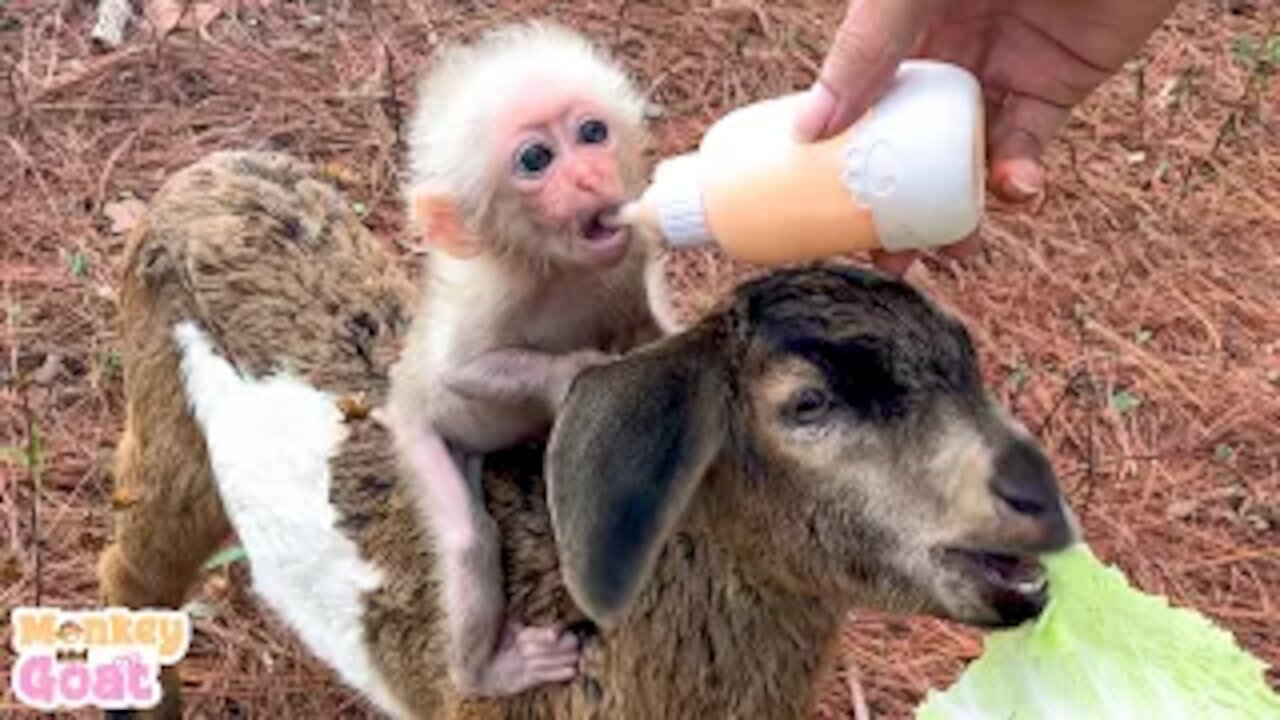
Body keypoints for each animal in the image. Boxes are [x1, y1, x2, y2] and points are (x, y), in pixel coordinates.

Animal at [99, 148, 1075, 712]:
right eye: (807, 406)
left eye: (968, 357)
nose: (1035, 500)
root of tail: (210, 169)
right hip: (168, 436)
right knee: (132, 572)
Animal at [384, 25, 665, 696]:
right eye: (536, 160)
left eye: (592, 132)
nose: (589, 176)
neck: (561, 269)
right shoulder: (497, 291)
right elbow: (460, 368)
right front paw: (579, 371)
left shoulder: (635, 245)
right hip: (416, 428)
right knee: (468, 541)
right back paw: (485, 674)